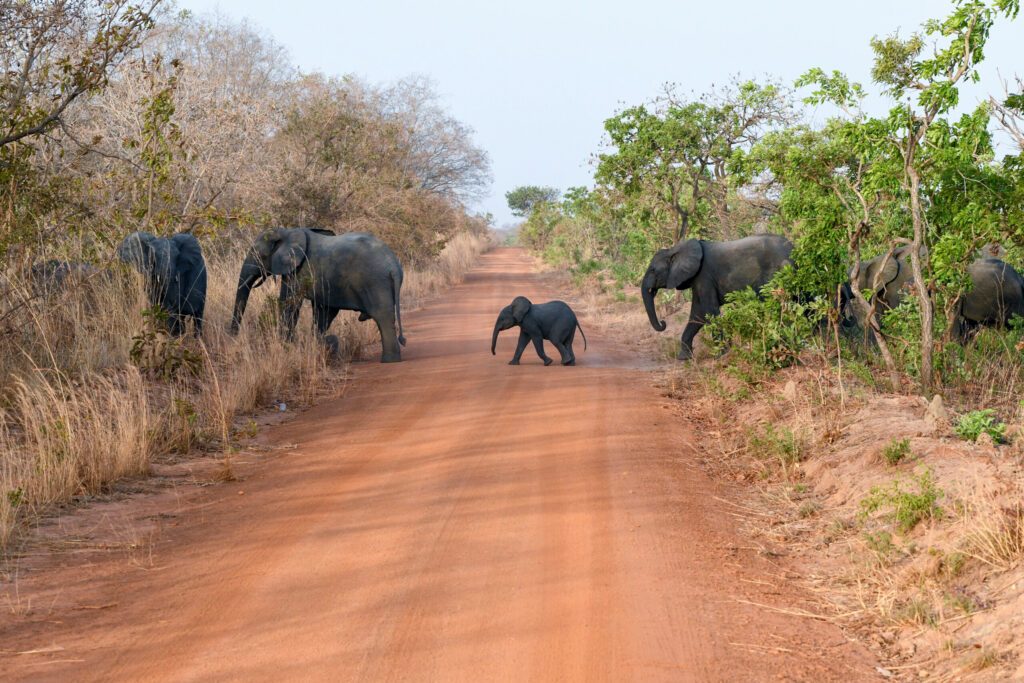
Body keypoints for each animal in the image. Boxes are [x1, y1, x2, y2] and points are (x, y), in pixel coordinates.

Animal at [232, 227, 407, 362]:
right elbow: (324, 311)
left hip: (375, 282)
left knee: (382, 316)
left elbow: (290, 304)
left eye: (258, 254)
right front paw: (318, 343)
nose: (232, 338)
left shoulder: (298, 271)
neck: (286, 231)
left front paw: (286, 346)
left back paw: (389, 361)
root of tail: (393, 265)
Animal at [638, 235, 790, 360]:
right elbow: (697, 314)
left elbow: (709, 310)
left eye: (653, 270)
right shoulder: (698, 279)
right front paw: (684, 358)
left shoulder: (704, 276)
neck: (674, 250)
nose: (663, 323)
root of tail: (791, 246)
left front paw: (720, 355)